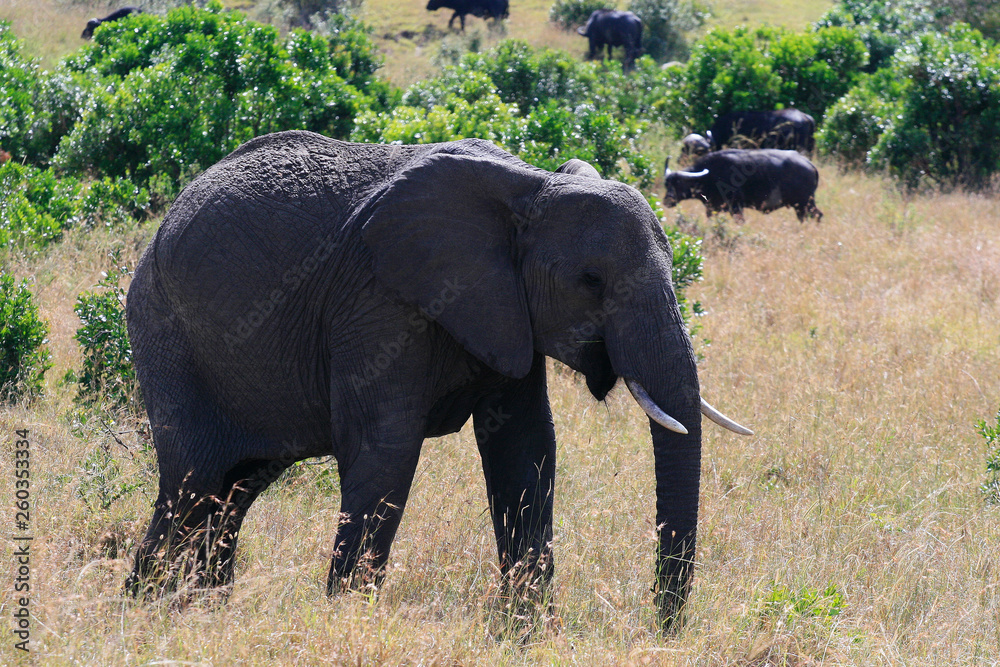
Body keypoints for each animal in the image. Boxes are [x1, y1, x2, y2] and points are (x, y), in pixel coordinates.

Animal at [125, 130, 752, 632]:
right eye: (592, 280)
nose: (662, 624)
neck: (533, 187)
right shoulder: (377, 302)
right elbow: (386, 448)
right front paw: (346, 620)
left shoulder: (506, 307)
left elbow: (525, 446)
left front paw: (528, 635)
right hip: (166, 335)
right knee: (191, 482)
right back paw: (148, 608)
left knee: (232, 491)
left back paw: (200, 610)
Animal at [664, 149, 820, 222]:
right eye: (666, 184)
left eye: (678, 184)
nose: (667, 201)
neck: (710, 176)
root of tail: (809, 165)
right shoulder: (712, 209)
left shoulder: (736, 207)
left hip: (804, 204)